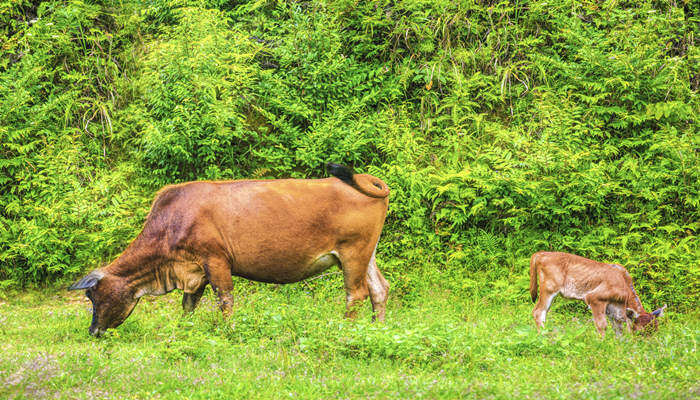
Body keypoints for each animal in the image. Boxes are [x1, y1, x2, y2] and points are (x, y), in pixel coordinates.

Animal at [68, 164, 392, 336]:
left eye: (93, 296)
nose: (93, 331)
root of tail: (365, 179)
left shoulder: (215, 260)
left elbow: (225, 299)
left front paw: (228, 331)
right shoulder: (194, 271)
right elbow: (188, 305)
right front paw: (185, 330)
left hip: (353, 251)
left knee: (356, 293)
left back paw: (346, 330)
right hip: (366, 253)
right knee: (379, 288)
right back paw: (377, 328)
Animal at [528, 253, 664, 338]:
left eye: (656, 330)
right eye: (640, 332)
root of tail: (541, 254)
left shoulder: (614, 309)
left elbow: (618, 329)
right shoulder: (595, 299)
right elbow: (602, 325)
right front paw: (602, 344)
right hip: (549, 289)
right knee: (538, 312)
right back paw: (544, 336)